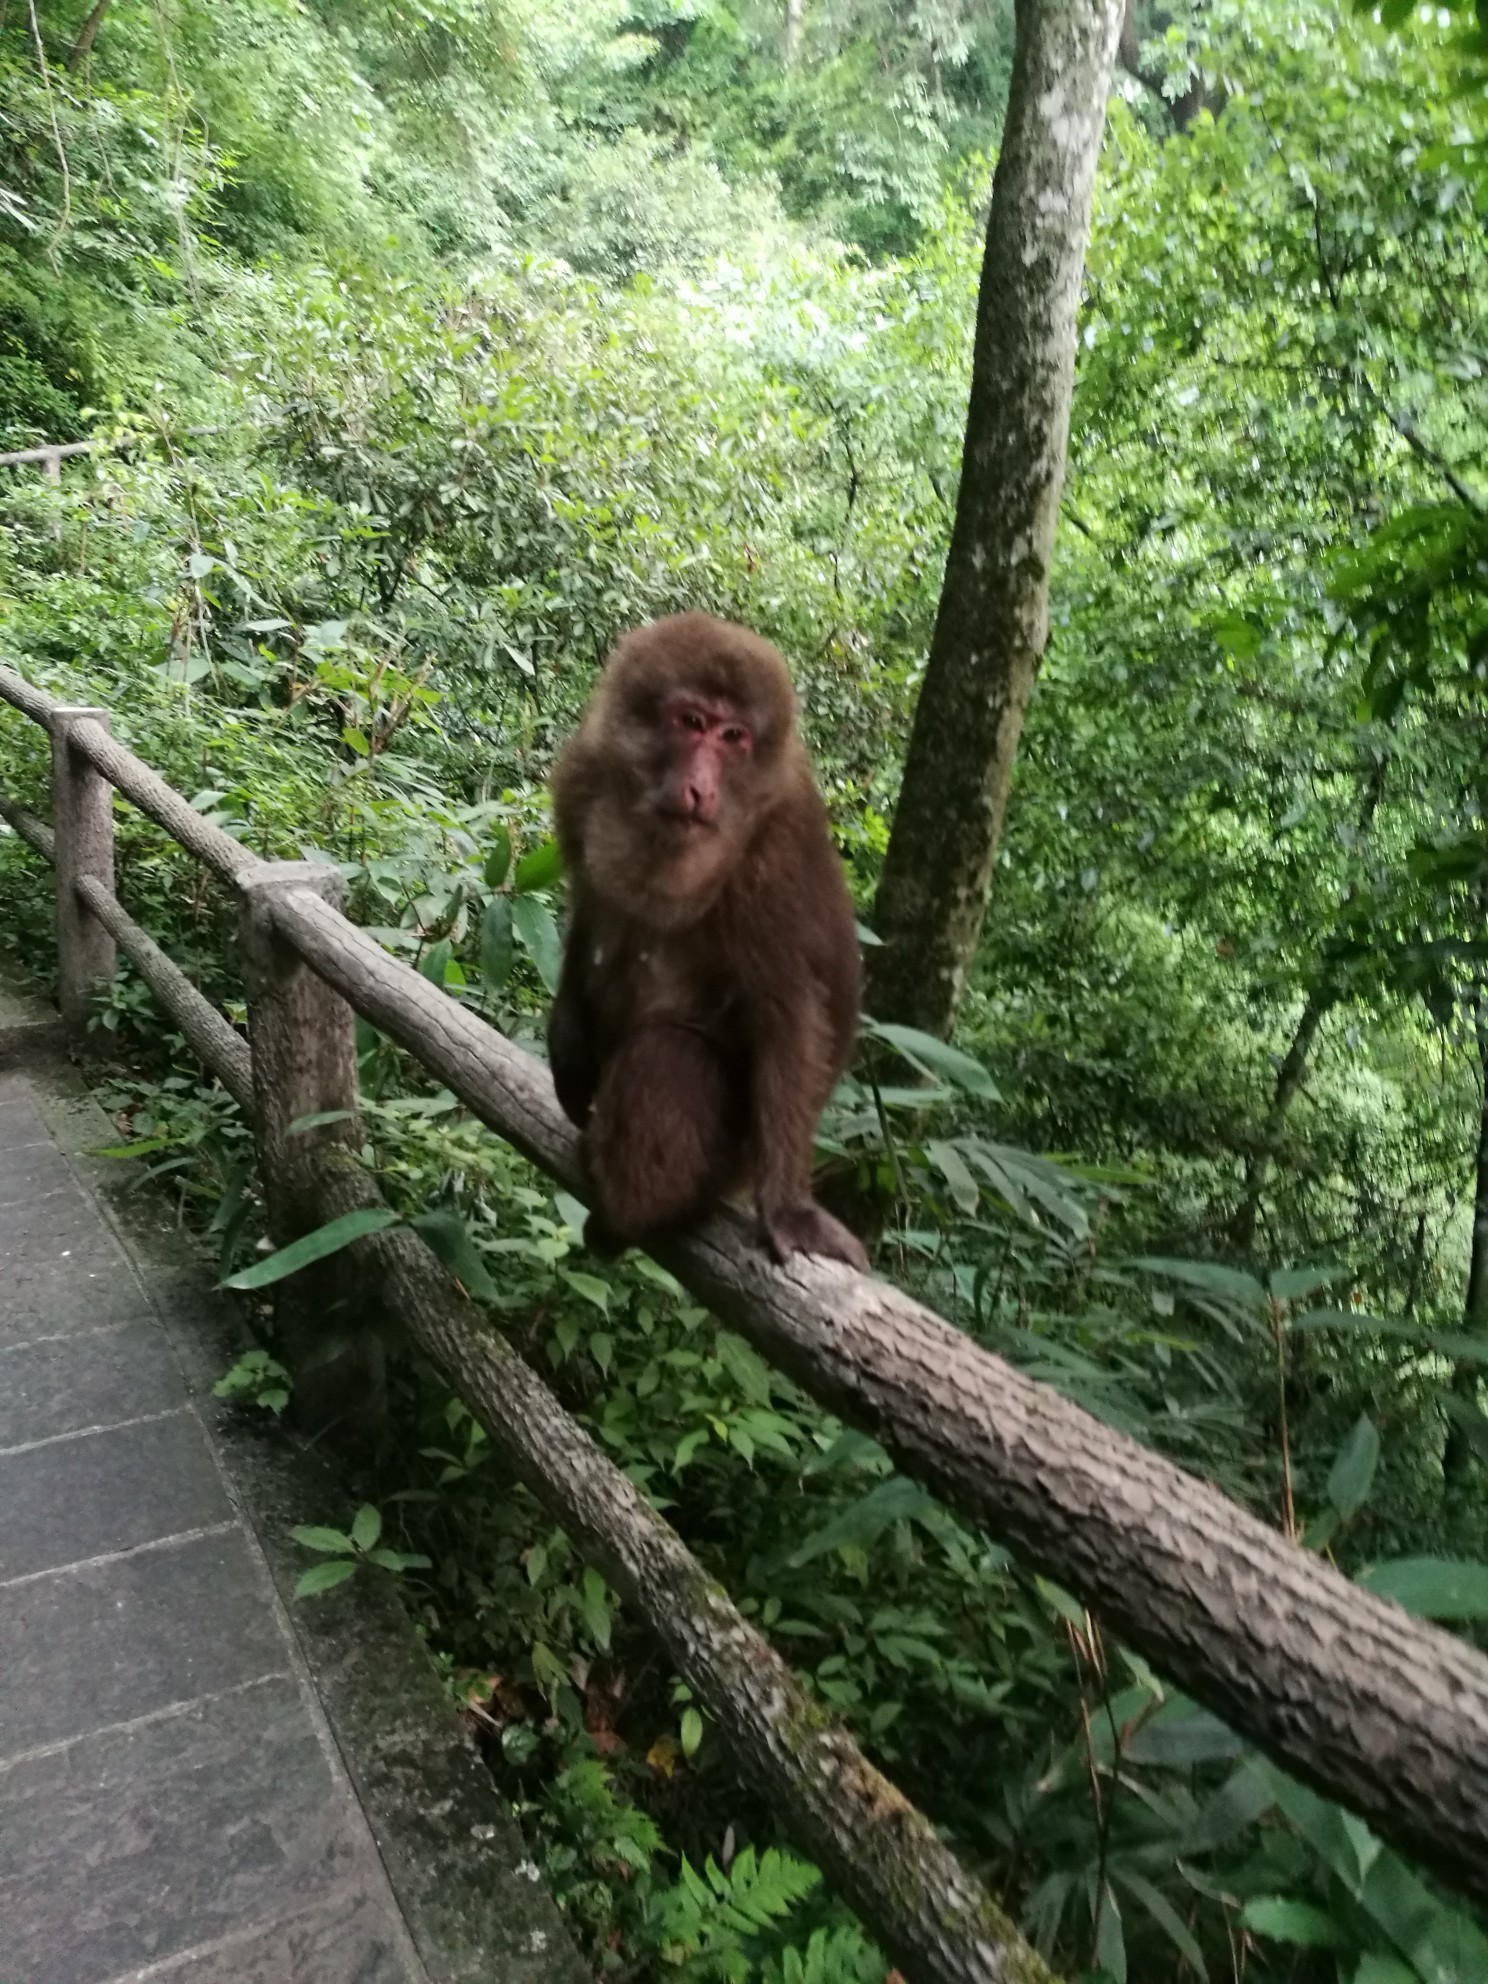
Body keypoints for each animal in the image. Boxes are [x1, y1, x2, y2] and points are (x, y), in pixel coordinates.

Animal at [547, 603, 872, 1269]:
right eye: (692, 722)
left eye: (733, 738)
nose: (701, 789)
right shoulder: (582, 777)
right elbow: (592, 908)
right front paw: (565, 1041)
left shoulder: (772, 860)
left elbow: (788, 1014)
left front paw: (790, 1210)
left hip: (729, 1157)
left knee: (668, 1055)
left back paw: (630, 1211)